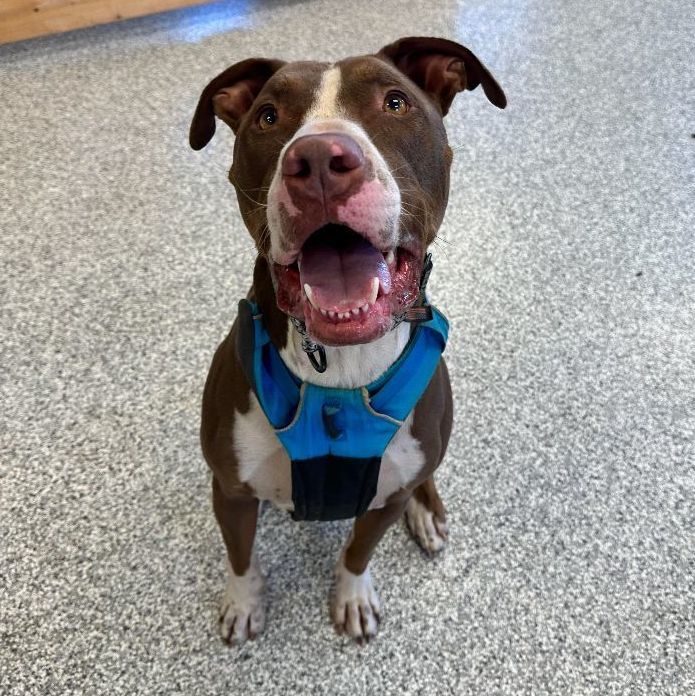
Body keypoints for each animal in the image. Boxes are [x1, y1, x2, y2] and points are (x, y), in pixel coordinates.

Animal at [189, 36, 506, 640]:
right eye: (268, 116)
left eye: (395, 102)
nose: (317, 161)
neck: (340, 365)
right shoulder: (230, 489)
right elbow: (240, 555)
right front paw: (243, 602)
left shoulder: (383, 503)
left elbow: (359, 551)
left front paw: (353, 596)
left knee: (421, 478)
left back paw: (427, 511)